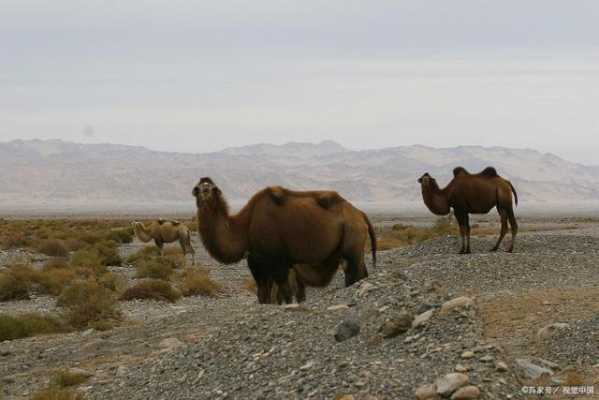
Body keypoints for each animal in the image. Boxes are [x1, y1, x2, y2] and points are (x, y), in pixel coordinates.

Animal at [192, 178, 378, 304]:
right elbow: (263, 295)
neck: (245, 227)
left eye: (212, 188)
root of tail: (360, 214)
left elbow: (285, 293)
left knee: (354, 274)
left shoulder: (278, 262)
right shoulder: (258, 264)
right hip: (354, 248)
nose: (202, 192)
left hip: (352, 243)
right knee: (360, 273)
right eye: (197, 187)